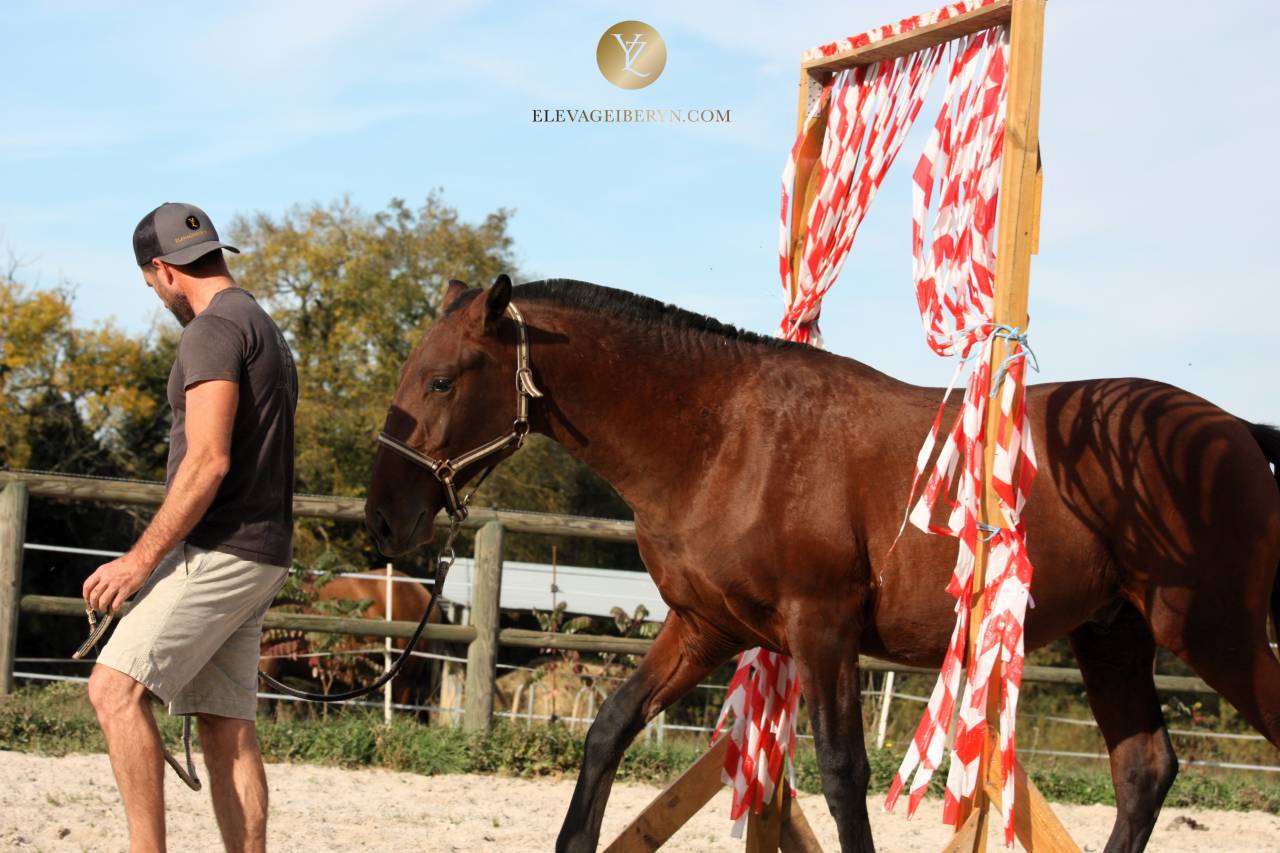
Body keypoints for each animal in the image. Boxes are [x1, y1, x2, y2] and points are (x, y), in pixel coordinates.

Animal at [364, 275, 1280, 853]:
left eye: (442, 379)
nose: (381, 520)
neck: (726, 438)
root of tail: (1236, 427)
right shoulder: (703, 628)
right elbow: (609, 726)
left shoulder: (823, 629)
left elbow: (843, 773)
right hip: (1114, 636)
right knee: (1144, 771)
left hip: (1214, 632)